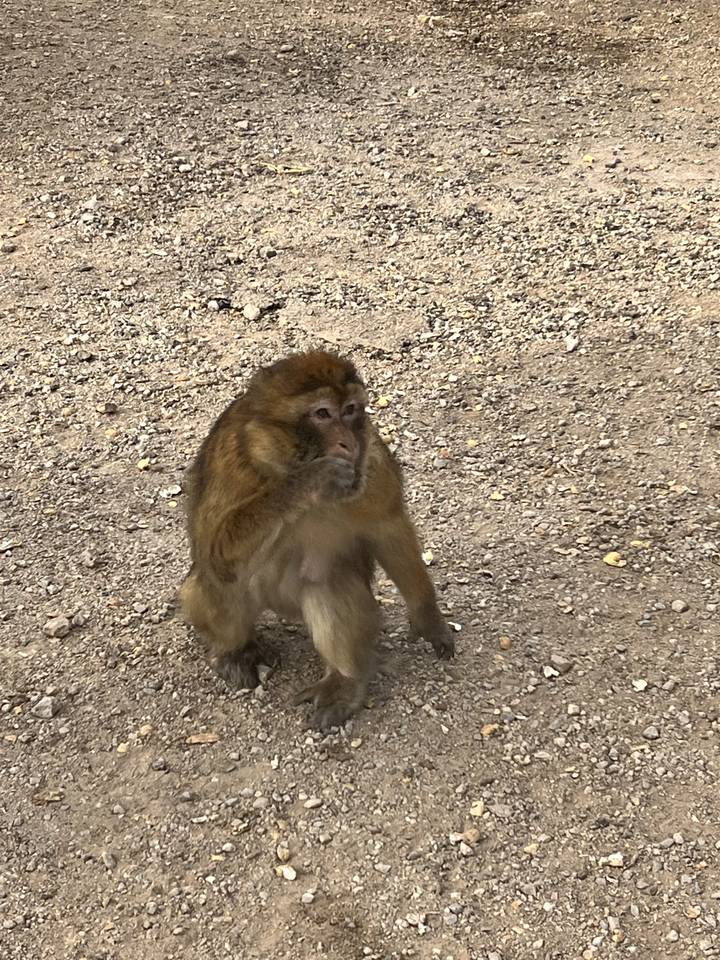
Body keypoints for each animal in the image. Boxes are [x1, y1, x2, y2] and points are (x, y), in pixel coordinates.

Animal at [180, 350, 454, 730]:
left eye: (350, 410)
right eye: (322, 414)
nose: (348, 443)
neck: (280, 461)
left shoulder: (372, 464)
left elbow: (389, 530)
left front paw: (429, 618)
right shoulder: (232, 461)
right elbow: (214, 554)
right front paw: (310, 479)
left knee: (329, 582)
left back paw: (343, 682)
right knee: (215, 586)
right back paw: (236, 651)